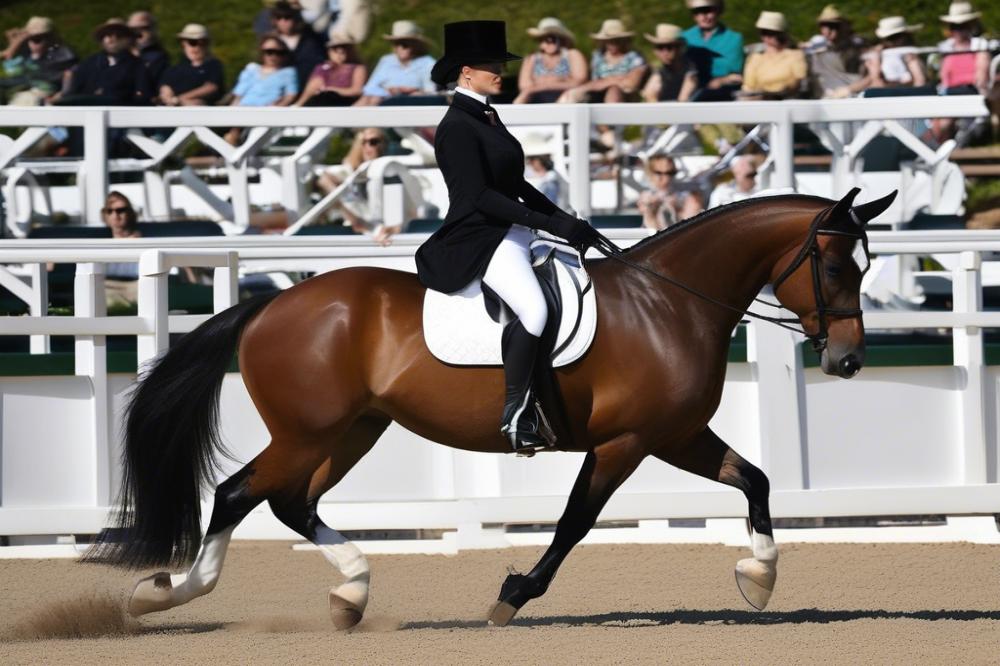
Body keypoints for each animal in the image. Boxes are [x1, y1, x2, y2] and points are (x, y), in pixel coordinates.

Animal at [88, 188, 900, 628]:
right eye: (835, 264)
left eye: (864, 265)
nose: (846, 360)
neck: (669, 303)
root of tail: (267, 305)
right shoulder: (629, 441)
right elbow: (575, 523)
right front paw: (513, 595)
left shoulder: (675, 433)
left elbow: (755, 480)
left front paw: (758, 578)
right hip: (308, 430)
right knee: (237, 492)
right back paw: (169, 594)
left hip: (353, 431)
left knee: (289, 501)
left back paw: (349, 590)